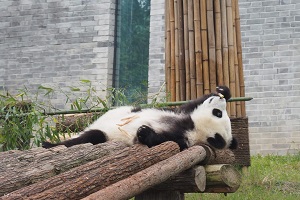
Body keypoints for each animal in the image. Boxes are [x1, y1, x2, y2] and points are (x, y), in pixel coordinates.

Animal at [42, 85, 238, 150]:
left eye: (218, 113)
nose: (219, 100)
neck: (190, 127)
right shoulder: (181, 114)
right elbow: (191, 104)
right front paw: (223, 91)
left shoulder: (184, 138)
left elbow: (164, 142)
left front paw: (144, 131)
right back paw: (49, 143)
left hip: (105, 135)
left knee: (90, 137)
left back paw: (48, 144)